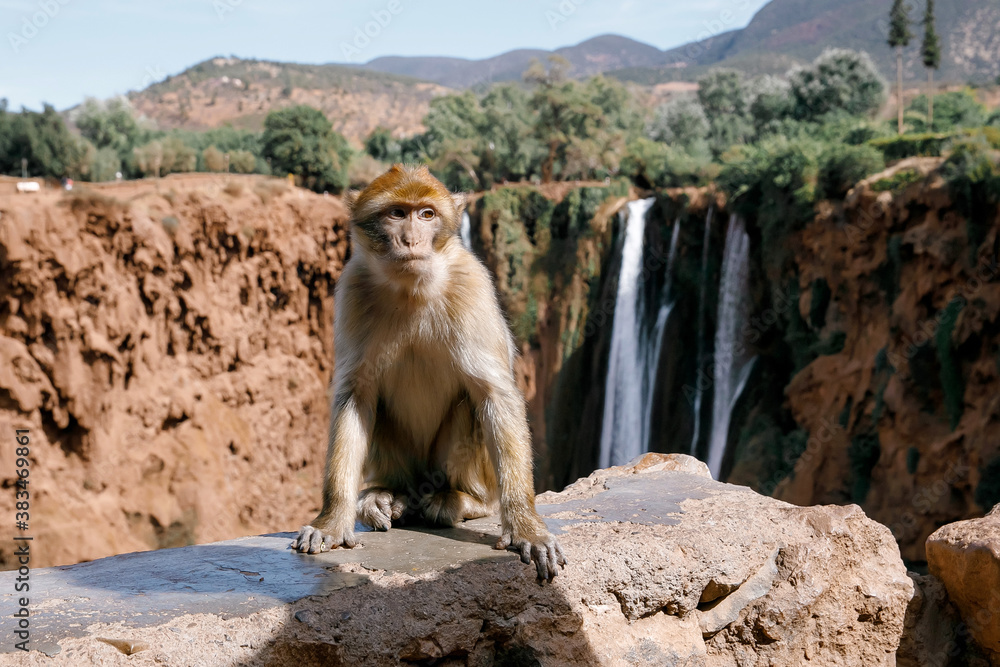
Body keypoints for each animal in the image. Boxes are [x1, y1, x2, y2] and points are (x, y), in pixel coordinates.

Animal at [291, 164, 567, 582]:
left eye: (426, 214)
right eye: (396, 214)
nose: (410, 239)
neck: (410, 289)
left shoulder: (473, 283)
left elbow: (494, 395)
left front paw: (526, 527)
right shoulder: (352, 287)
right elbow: (356, 395)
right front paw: (332, 520)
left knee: (471, 407)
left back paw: (461, 502)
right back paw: (387, 497)